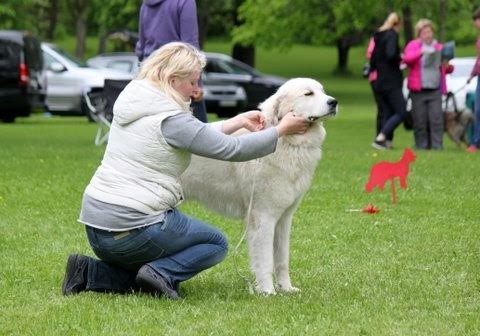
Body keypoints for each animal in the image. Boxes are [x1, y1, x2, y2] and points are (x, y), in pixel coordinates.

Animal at [181, 78, 338, 294]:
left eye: (322, 91)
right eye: (308, 94)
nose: (334, 102)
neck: (288, 142)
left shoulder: (284, 219)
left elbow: (282, 260)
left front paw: (286, 289)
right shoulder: (263, 217)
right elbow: (264, 261)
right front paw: (268, 292)